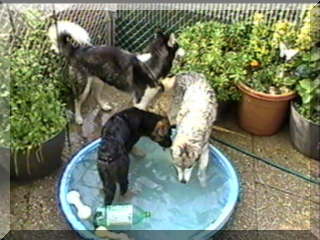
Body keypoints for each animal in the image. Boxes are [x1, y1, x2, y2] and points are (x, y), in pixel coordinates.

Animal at [47, 21, 185, 124]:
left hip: (99, 80)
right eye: (178, 45)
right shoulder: (139, 102)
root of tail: (76, 50)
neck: (151, 65)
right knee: (77, 100)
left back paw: (103, 106)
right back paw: (78, 118)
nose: (186, 50)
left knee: (95, 95)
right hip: (83, 85)